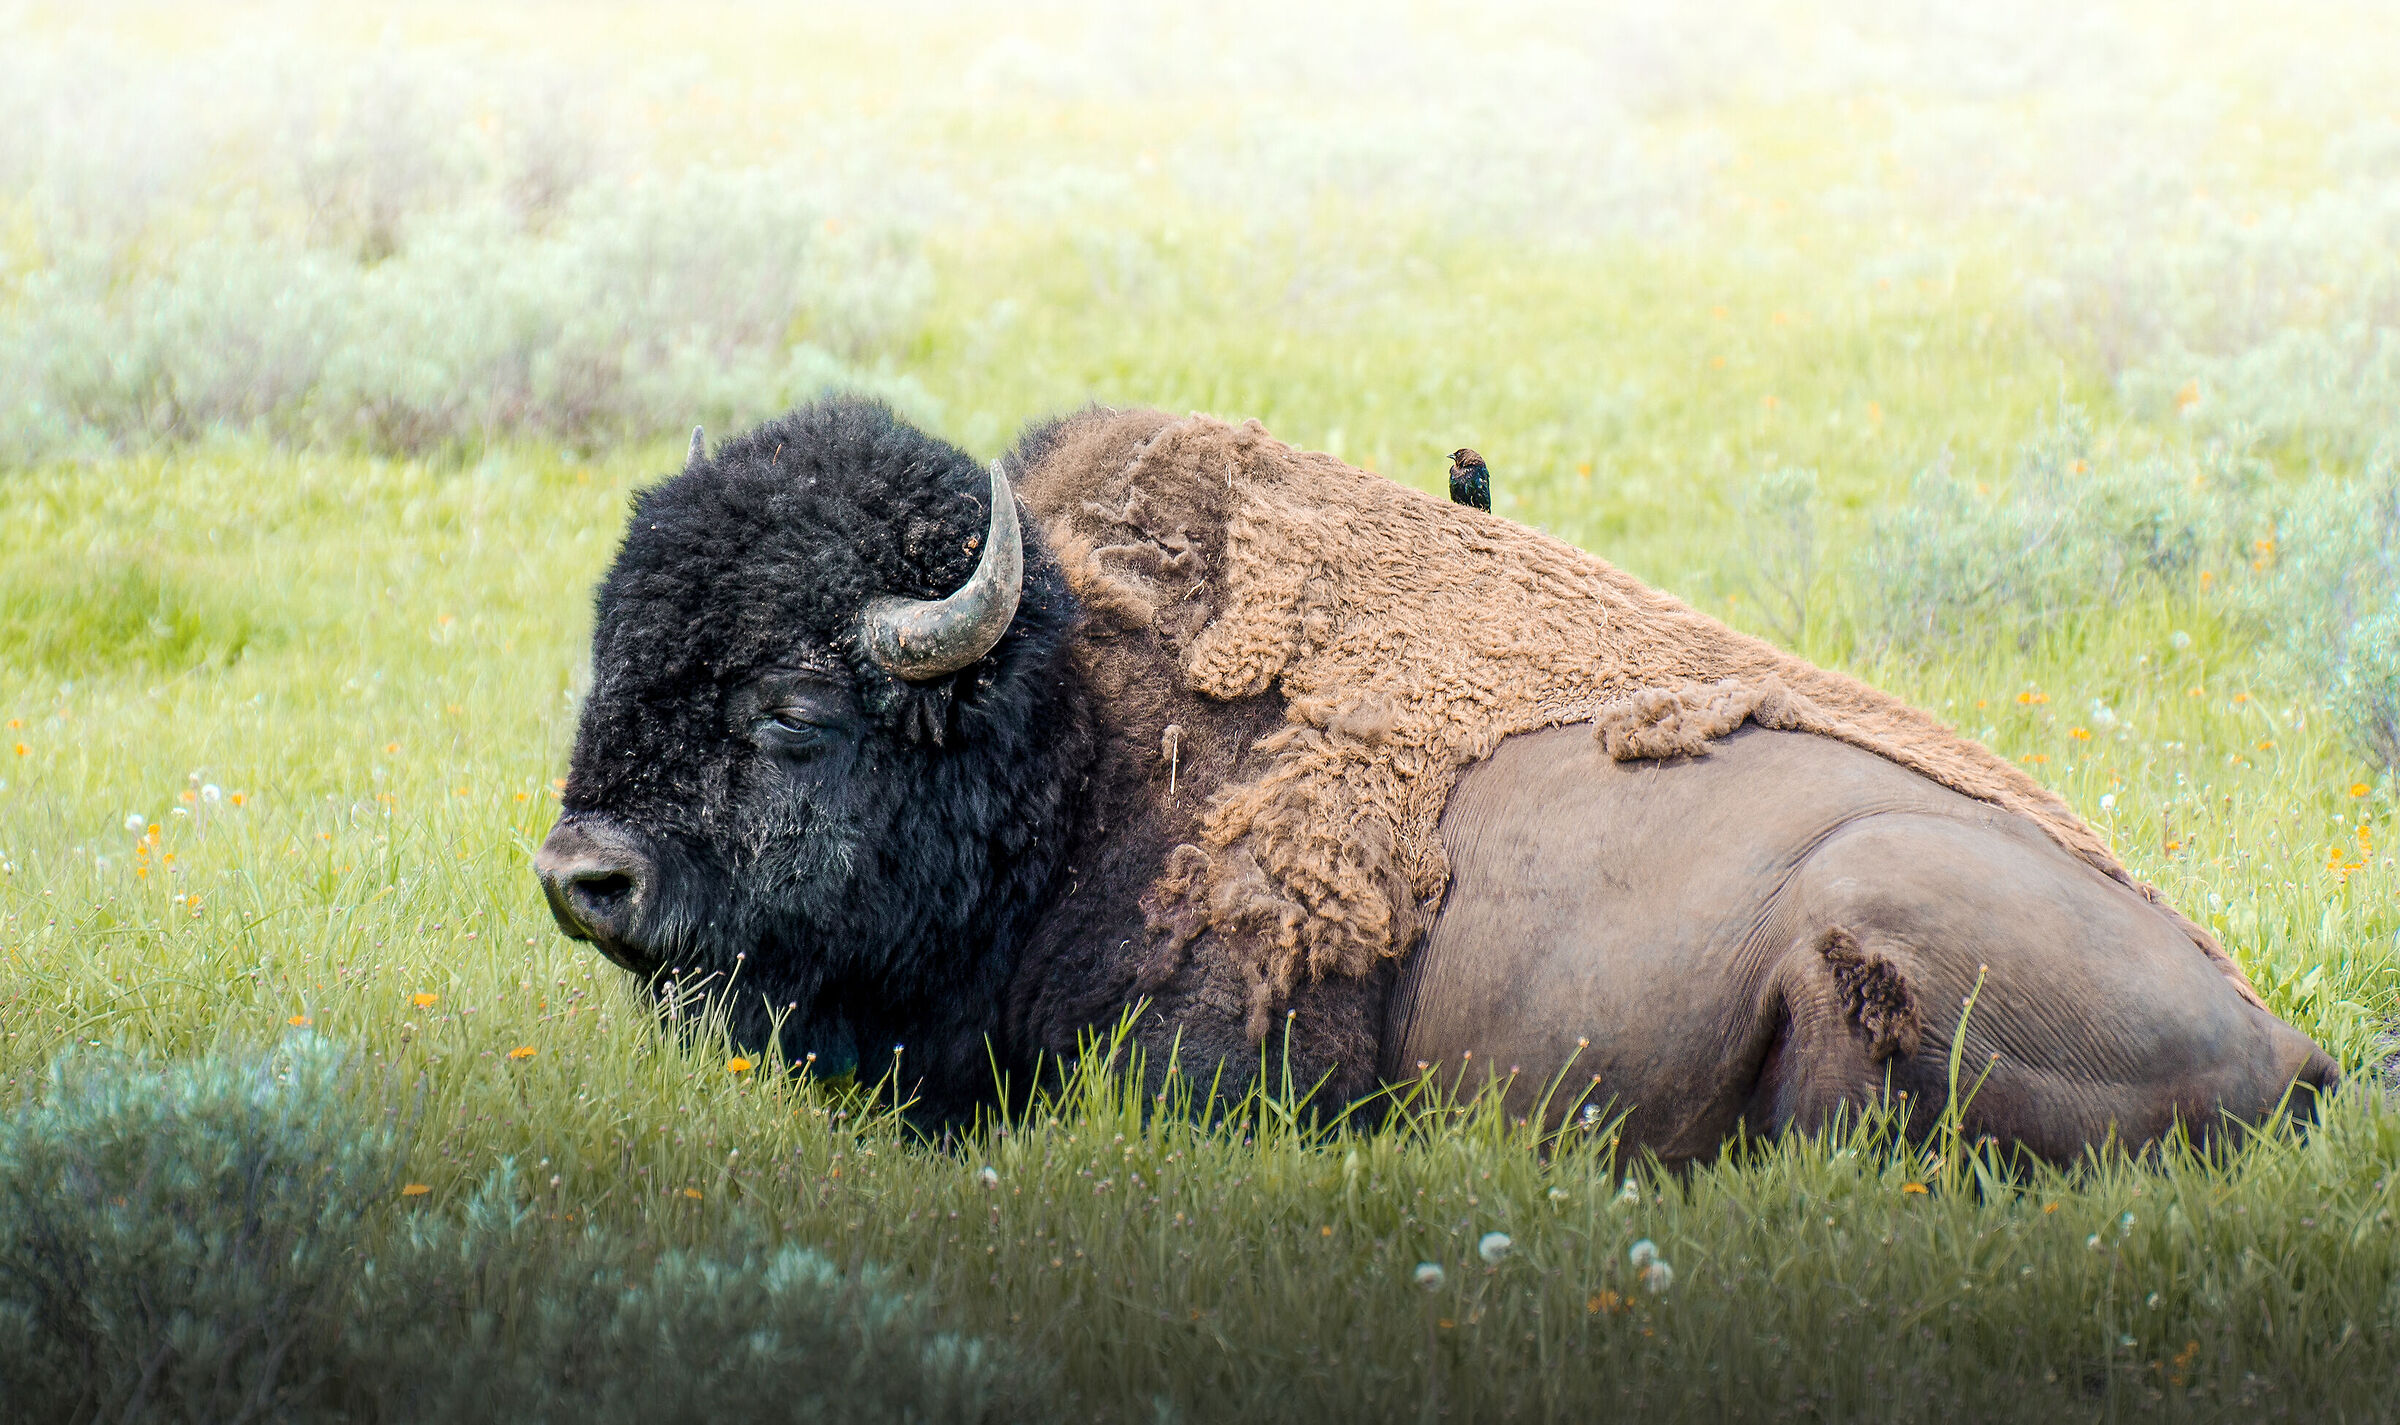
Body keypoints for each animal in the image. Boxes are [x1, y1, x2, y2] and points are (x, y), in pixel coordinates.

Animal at [536, 398, 2337, 1161]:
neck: (1084, 743)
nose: (583, 877)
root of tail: (2292, 1045)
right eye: (606, 659)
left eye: (791, 705)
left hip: (1868, 914)